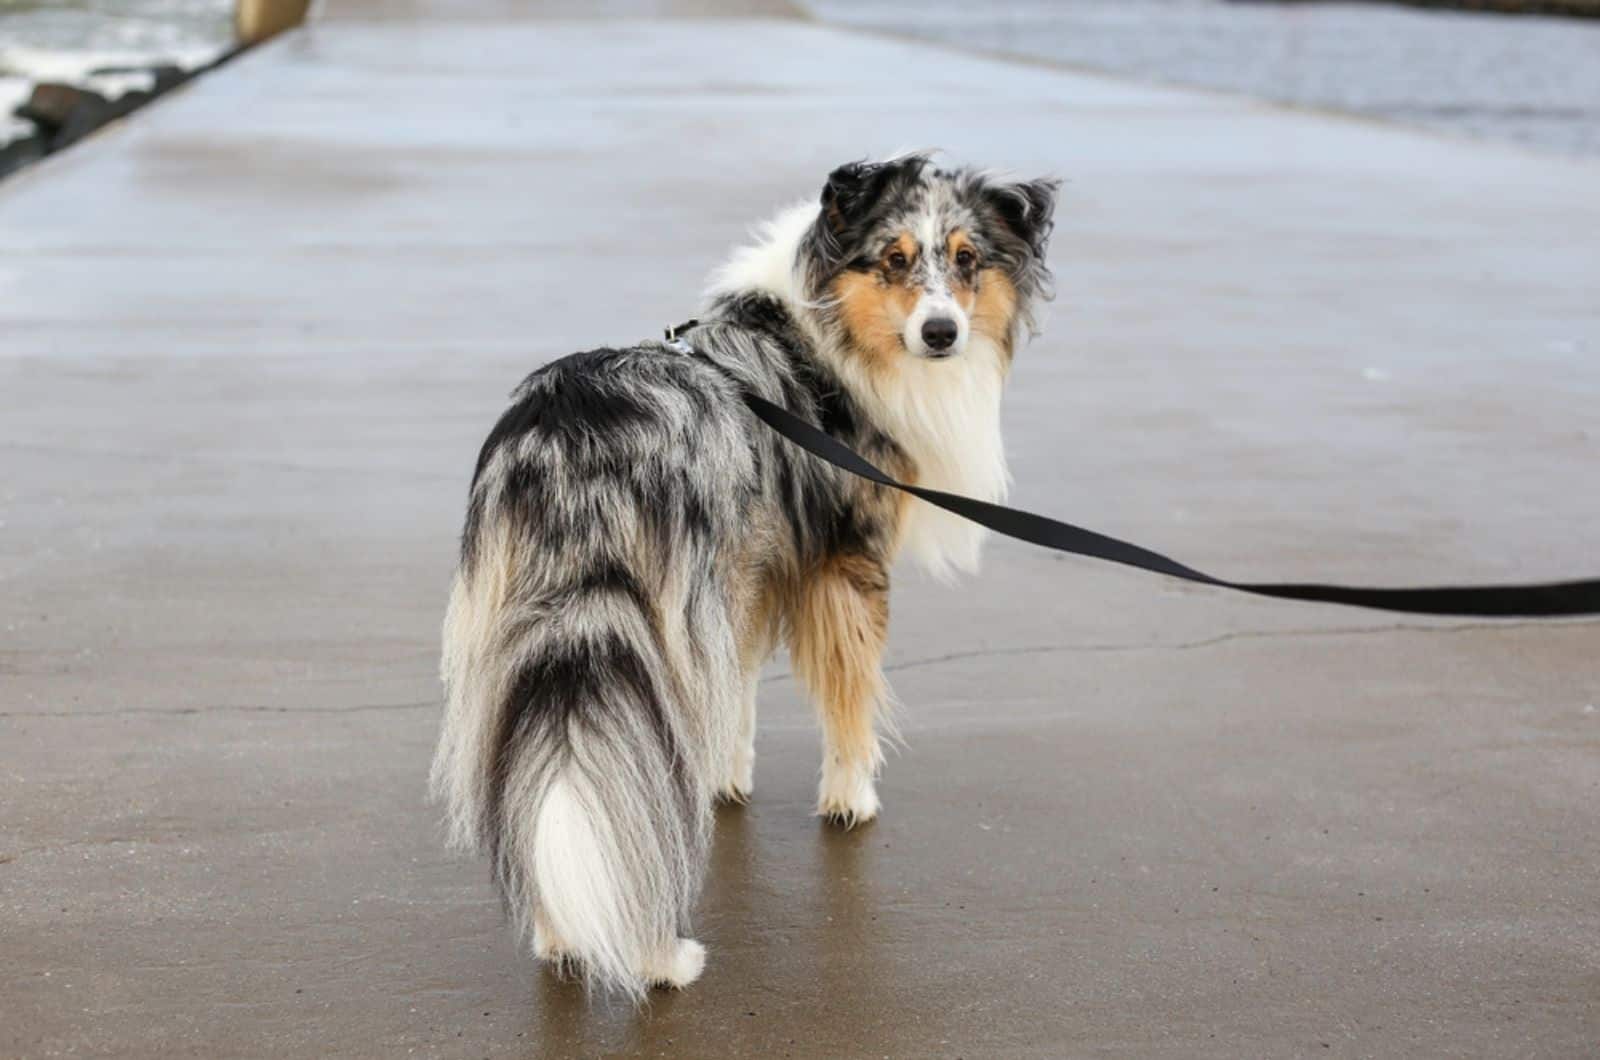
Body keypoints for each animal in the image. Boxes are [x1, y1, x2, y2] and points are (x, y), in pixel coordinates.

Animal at [438, 153, 1062, 999]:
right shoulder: (842, 560)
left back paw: (560, 938)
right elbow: (851, 696)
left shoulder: (750, 574)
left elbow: (734, 696)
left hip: (532, 632)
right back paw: (662, 959)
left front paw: (728, 780)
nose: (942, 333)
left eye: (967, 260)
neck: (824, 332)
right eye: (894, 259)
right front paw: (850, 799)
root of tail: (578, 435)